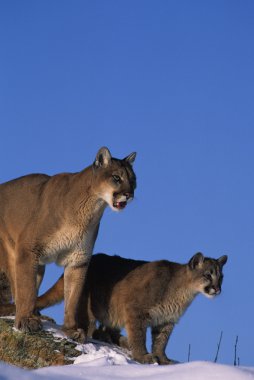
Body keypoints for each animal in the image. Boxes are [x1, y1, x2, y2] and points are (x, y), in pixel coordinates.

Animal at [0, 147, 137, 340]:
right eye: (116, 177)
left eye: (133, 180)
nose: (129, 194)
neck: (90, 210)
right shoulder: (27, 248)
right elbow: (25, 289)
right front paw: (26, 321)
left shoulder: (78, 259)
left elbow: (72, 297)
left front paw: (71, 329)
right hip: (12, 253)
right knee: (19, 288)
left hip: (39, 267)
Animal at [33, 251, 226, 364]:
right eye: (208, 275)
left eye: (221, 277)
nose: (217, 289)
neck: (184, 291)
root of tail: (92, 257)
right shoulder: (136, 311)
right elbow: (139, 335)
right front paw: (142, 356)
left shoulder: (166, 321)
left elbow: (161, 342)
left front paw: (163, 359)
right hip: (90, 309)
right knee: (92, 330)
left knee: (104, 332)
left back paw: (121, 341)